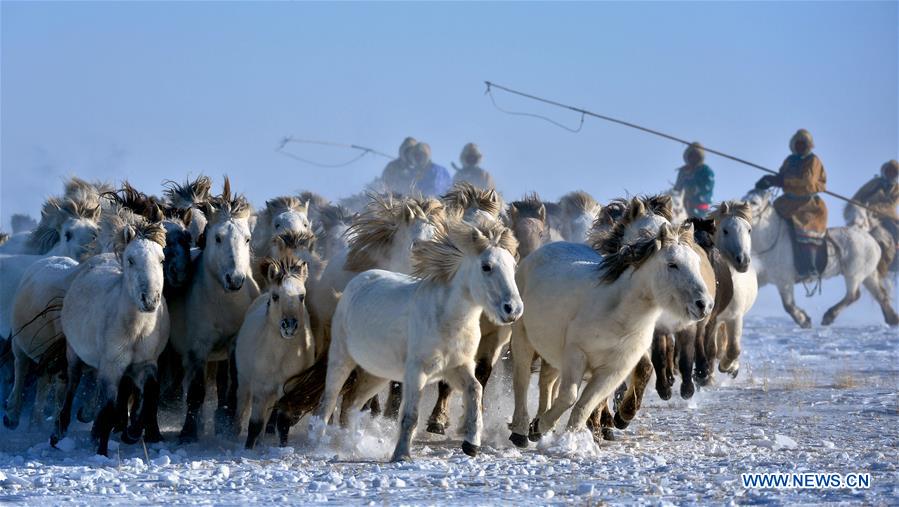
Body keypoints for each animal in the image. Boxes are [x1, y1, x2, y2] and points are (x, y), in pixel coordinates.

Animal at [234, 258, 314, 448]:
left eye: (302, 296)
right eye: (276, 296)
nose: (289, 325)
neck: (279, 357)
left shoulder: (288, 389)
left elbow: (283, 424)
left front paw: (283, 448)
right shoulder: (259, 388)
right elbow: (254, 424)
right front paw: (248, 449)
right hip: (244, 380)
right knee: (241, 407)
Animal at [312, 218, 520, 460]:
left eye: (513, 266)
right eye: (486, 266)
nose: (513, 309)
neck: (447, 319)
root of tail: (355, 283)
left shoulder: (457, 368)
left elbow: (475, 390)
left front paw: (471, 444)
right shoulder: (416, 372)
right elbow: (410, 415)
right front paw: (401, 454)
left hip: (376, 373)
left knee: (350, 403)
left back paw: (349, 445)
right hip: (341, 359)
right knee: (328, 401)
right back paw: (318, 443)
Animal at [510, 223, 712, 448]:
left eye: (696, 263)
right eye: (672, 264)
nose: (704, 304)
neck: (617, 315)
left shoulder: (613, 370)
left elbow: (585, 405)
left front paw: (571, 439)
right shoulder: (576, 354)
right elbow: (570, 397)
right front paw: (541, 426)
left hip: (552, 352)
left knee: (546, 381)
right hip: (522, 339)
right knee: (522, 381)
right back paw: (521, 432)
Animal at [740, 189, 896, 328]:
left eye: (754, 202)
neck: (772, 239)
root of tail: (868, 235)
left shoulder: (784, 281)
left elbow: (788, 305)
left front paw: (804, 320)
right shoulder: (763, 278)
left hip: (854, 274)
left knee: (853, 295)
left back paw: (829, 316)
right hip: (869, 275)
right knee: (881, 295)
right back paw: (892, 319)